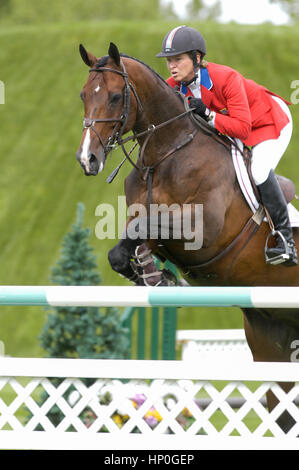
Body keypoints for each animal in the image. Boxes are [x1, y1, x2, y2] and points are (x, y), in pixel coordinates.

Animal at [77, 42, 299, 432]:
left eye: (116, 97)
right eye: (83, 95)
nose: (87, 159)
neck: (167, 152)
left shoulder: (202, 231)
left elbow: (143, 230)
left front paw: (159, 278)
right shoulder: (152, 225)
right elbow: (127, 245)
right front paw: (156, 278)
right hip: (271, 335)